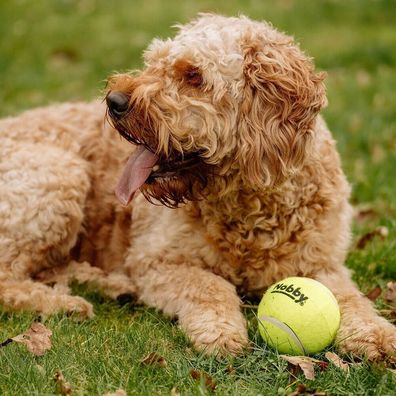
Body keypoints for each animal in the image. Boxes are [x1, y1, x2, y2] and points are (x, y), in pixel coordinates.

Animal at [0, 13, 396, 358]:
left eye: (193, 75)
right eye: (154, 63)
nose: (115, 101)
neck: (250, 206)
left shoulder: (323, 266)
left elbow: (350, 299)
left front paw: (377, 335)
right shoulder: (158, 261)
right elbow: (210, 286)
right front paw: (220, 332)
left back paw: (110, 285)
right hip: (60, 176)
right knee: (8, 280)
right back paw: (64, 303)